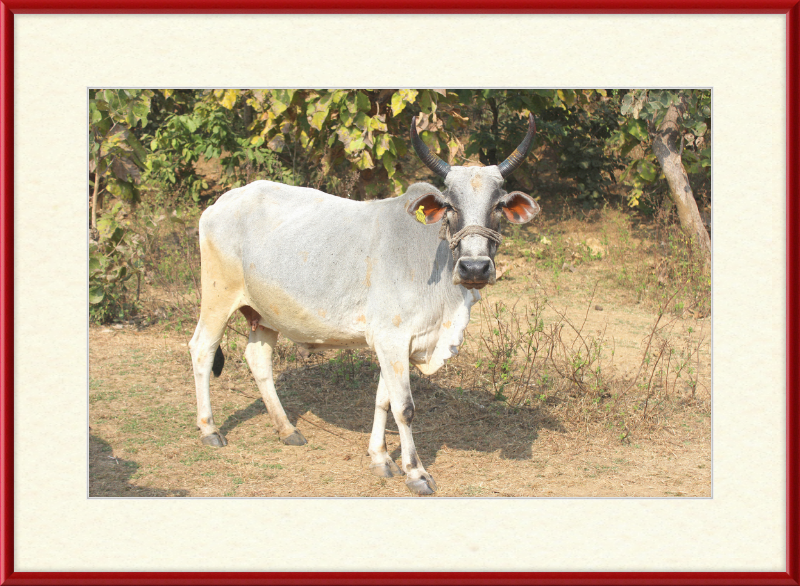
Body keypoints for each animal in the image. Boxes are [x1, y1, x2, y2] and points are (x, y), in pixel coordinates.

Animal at [188, 115, 540, 492]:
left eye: (498, 206)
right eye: (450, 206)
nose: (475, 268)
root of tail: (220, 203)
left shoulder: (396, 343)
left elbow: (383, 400)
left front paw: (380, 458)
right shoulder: (392, 339)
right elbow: (404, 408)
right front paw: (415, 472)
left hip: (266, 314)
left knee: (258, 360)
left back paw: (287, 429)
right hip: (217, 297)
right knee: (202, 349)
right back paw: (209, 429)